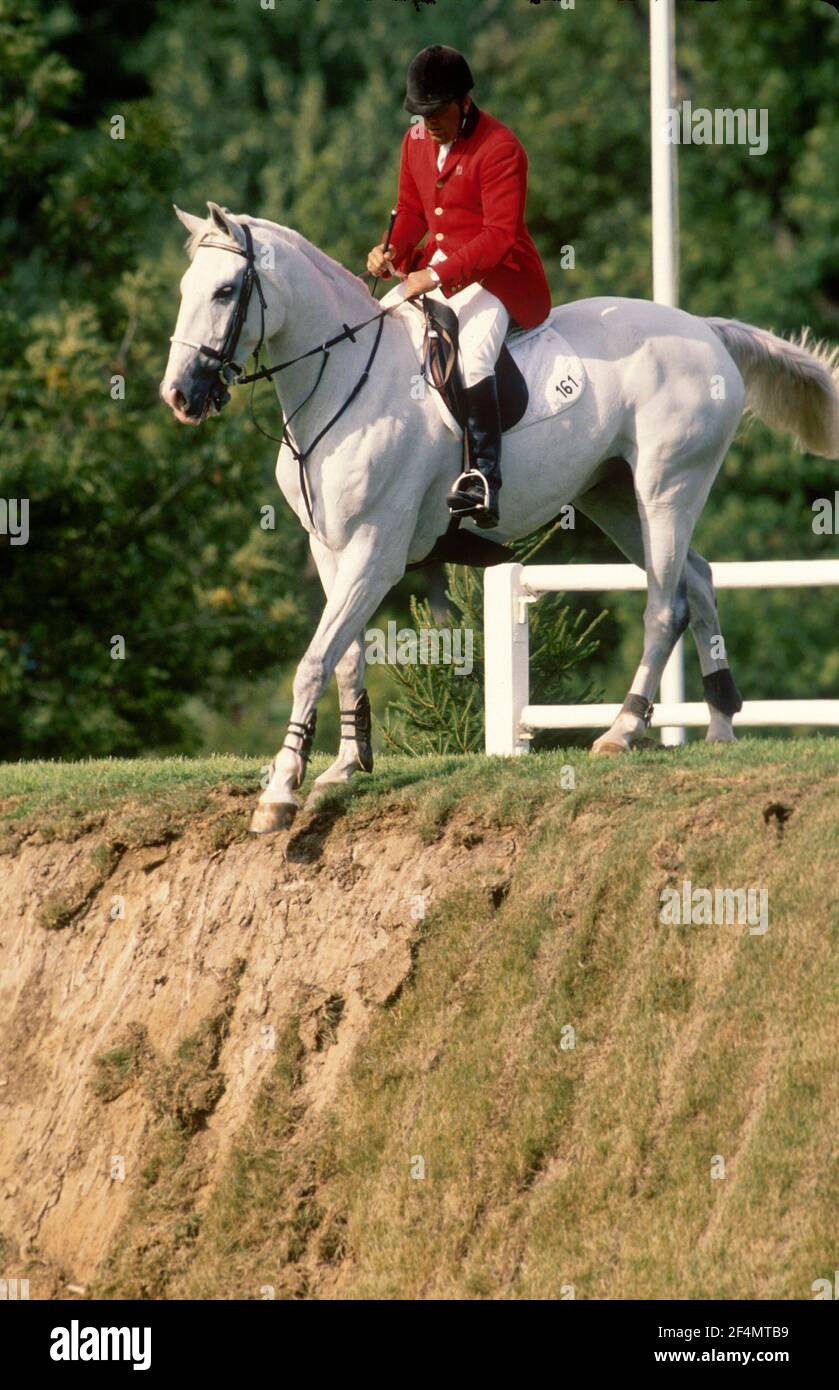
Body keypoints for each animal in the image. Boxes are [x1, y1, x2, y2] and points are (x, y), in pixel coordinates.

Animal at [159, 202, 839, 828]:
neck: (345, 381)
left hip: (667, 488)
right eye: (186, 289)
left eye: (225, 292)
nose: (179, 397)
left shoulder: (375, 553)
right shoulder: (329, 548)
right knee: (696, 579)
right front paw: (344, 765)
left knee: (664, 603)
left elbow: (314, 660)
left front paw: (281, 789)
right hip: (616, 497)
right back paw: (721, 725)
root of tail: (703, 329)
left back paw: (622, 730)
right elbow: (343, 655)